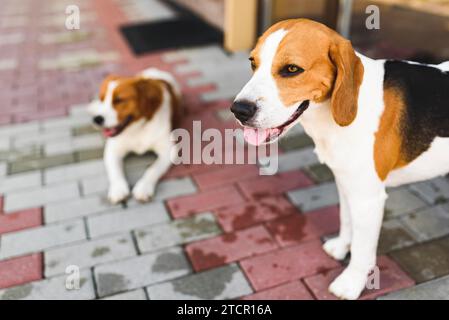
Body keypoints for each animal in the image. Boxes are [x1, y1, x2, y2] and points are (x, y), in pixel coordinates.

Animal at [88, 69, 181, 204]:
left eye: (119, 100)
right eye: (102, 99)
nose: (96, 119)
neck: (137, 128)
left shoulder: (169, 151)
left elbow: (152, 169)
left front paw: (143, 188)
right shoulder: (113, 150)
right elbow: (115, 171)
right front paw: (118, 189)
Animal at [231, 19, 448, 300]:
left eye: (292, 69)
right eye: (252, 63)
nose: (239, 110)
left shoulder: (368, 199)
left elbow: (363, 250)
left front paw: (351, 283)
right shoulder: (345, 182)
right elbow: (347, 221)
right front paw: (342, 247)